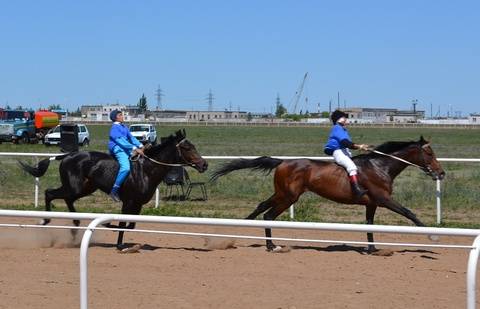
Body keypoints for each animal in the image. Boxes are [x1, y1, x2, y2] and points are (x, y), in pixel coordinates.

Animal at [18, 129, 207, 249]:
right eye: (187, 147)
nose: (204, 164)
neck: (146, 170)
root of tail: (67, 155)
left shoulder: (138, 204)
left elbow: (131, 226)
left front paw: (111, 227)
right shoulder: (128, 202)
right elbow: (123, 224)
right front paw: (117, 239)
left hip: (84, 188)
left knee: (67, 199)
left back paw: (75, 226)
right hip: (75, 187)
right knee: (49, 193)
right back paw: (44, 220)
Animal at [213, 136, 446, 251]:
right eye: (429, 153)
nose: (441, 173)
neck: (380, 166)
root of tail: (283, 162)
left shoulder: (371, 203)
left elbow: (369, 225)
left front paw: (372, 248)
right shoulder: (384, 199)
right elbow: (409, 213)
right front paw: (433, 235)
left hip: (282, 194)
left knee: (262, 206)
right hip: (288, 197)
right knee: (268, 215)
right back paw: (271, 246)